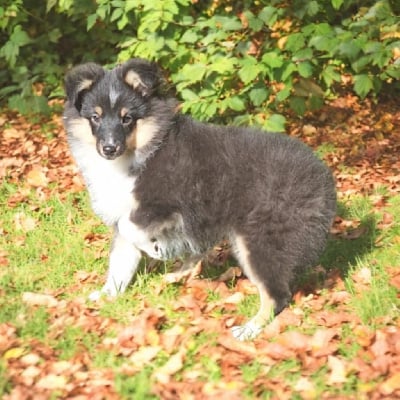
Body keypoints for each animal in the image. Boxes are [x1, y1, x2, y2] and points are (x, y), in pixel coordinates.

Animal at [63, 58, 338, 340]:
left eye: (127, 118)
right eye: (95, 117)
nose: (109, 148)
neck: (139, 151)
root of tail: (323, 176)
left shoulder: (164, 205)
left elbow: (132, 228)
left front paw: (158, 249)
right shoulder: (124, 212)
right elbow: (120, 262)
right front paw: (107, 296)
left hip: (261, 237)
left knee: (277, 295)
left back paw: (247, 329)